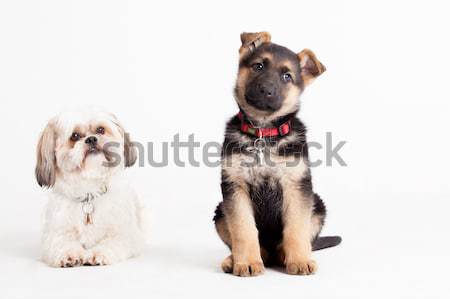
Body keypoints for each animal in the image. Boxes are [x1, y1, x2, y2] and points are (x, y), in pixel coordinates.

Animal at [37, 109, 146, 268]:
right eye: (75, 136)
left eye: (100, 129)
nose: (91, 139)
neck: (89, 192)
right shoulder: (55, 234)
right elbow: (62, 243)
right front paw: (69, 254)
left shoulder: (125, 235)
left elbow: (111, 242)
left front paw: (97, 253)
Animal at [214, 31, 342, 278]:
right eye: (258, 66)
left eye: (287, 76)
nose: (266, 90)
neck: (264, 133)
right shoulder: (235, 186)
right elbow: (243, 230)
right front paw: (247, 262)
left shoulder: (297, 186)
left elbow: (296, 228)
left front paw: (300, 260)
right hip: (220, 212)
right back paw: (234, 259)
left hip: (317, 206)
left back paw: (287, 256)